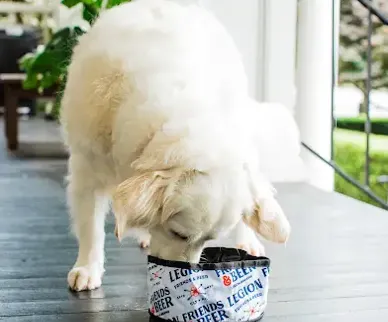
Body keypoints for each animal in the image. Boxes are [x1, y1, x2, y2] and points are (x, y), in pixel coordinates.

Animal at [59, 0, 292, 292]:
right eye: (177, 233)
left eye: (208, 240)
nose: (184, 277)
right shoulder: (86, 168)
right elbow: (90, 226)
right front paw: (87, 268)